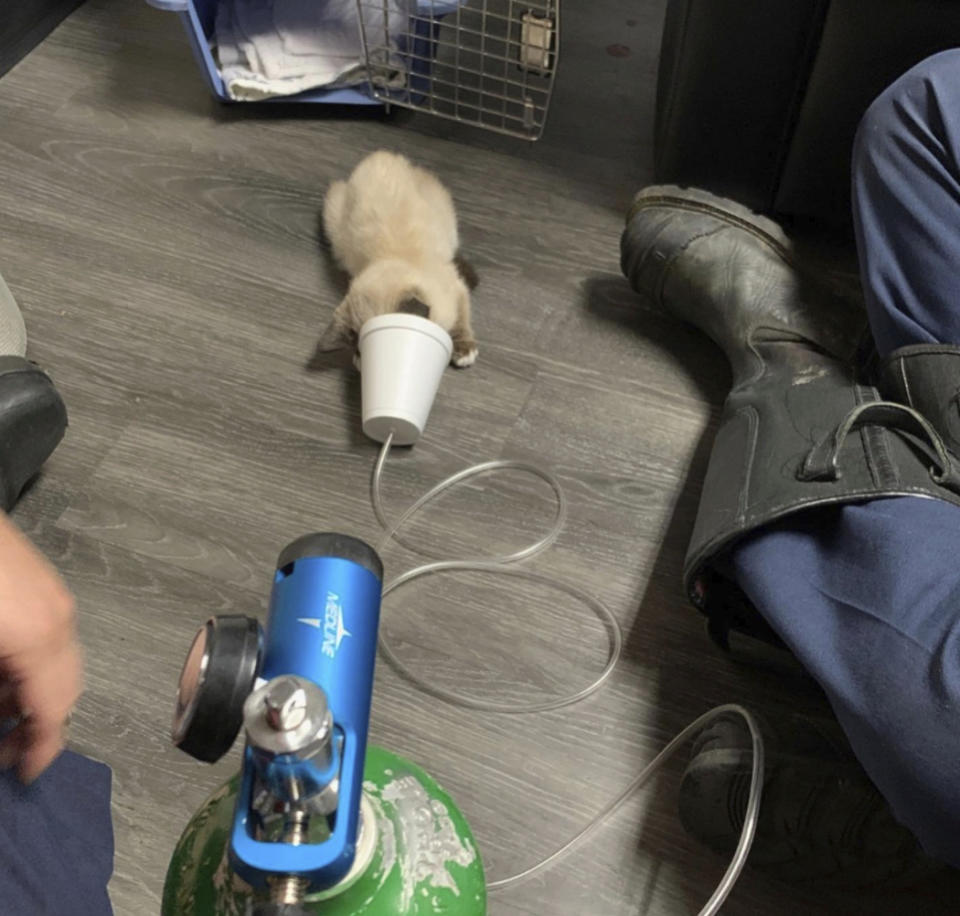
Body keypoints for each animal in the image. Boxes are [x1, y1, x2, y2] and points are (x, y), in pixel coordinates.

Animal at [320, 150, 478, 364]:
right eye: (358, 350)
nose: (357, 360)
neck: (401, 258)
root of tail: (380, 154)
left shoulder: (457, 289)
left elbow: (462, 317)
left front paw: (464, 350)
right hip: (334, 223)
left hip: (447, 219)